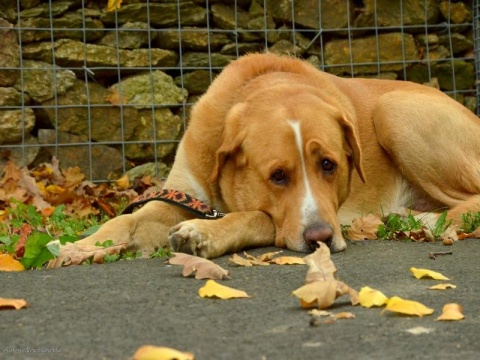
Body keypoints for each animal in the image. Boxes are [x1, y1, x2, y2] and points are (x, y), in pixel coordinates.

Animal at [49, 54, 480, 268]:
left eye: (329, 165)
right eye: (277, 176)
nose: (321, 237)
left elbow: (254, 216)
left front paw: (203, 233)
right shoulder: (181, 195)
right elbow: (126, 221)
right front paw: (78, 247)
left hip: (395, 110)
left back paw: (422, 221)